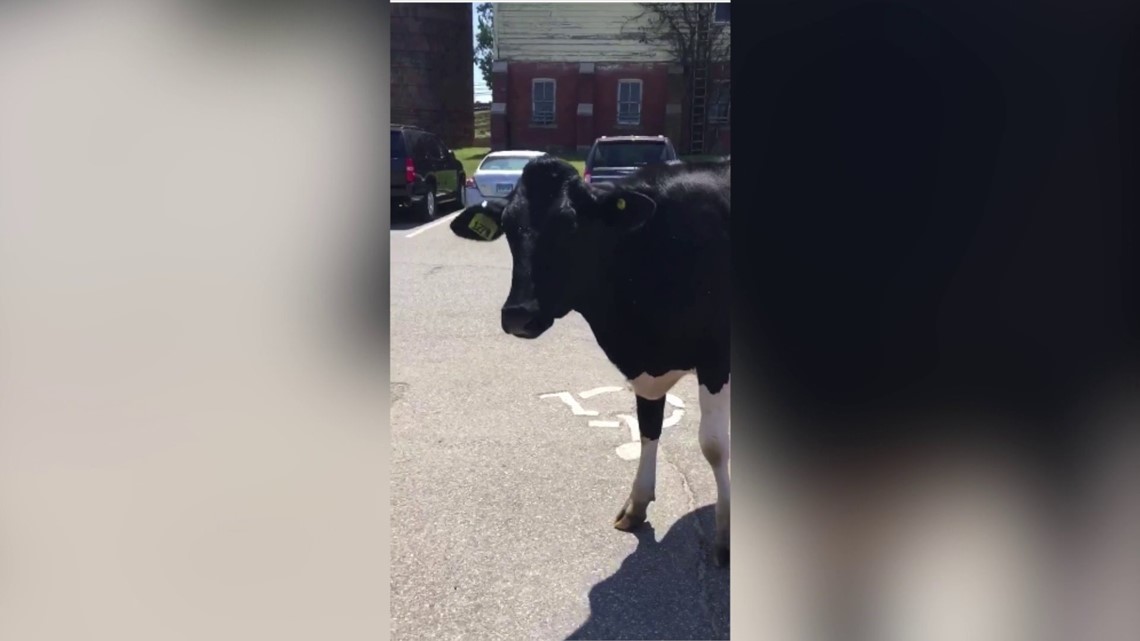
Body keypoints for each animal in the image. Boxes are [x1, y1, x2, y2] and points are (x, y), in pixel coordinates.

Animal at [449, 155, 731, 566]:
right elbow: (648, 428)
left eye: (570, 226)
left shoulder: (716, 357)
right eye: (509, 228)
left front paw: (725, 537)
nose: (517, 315)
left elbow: (713, 445)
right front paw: (636, 505)